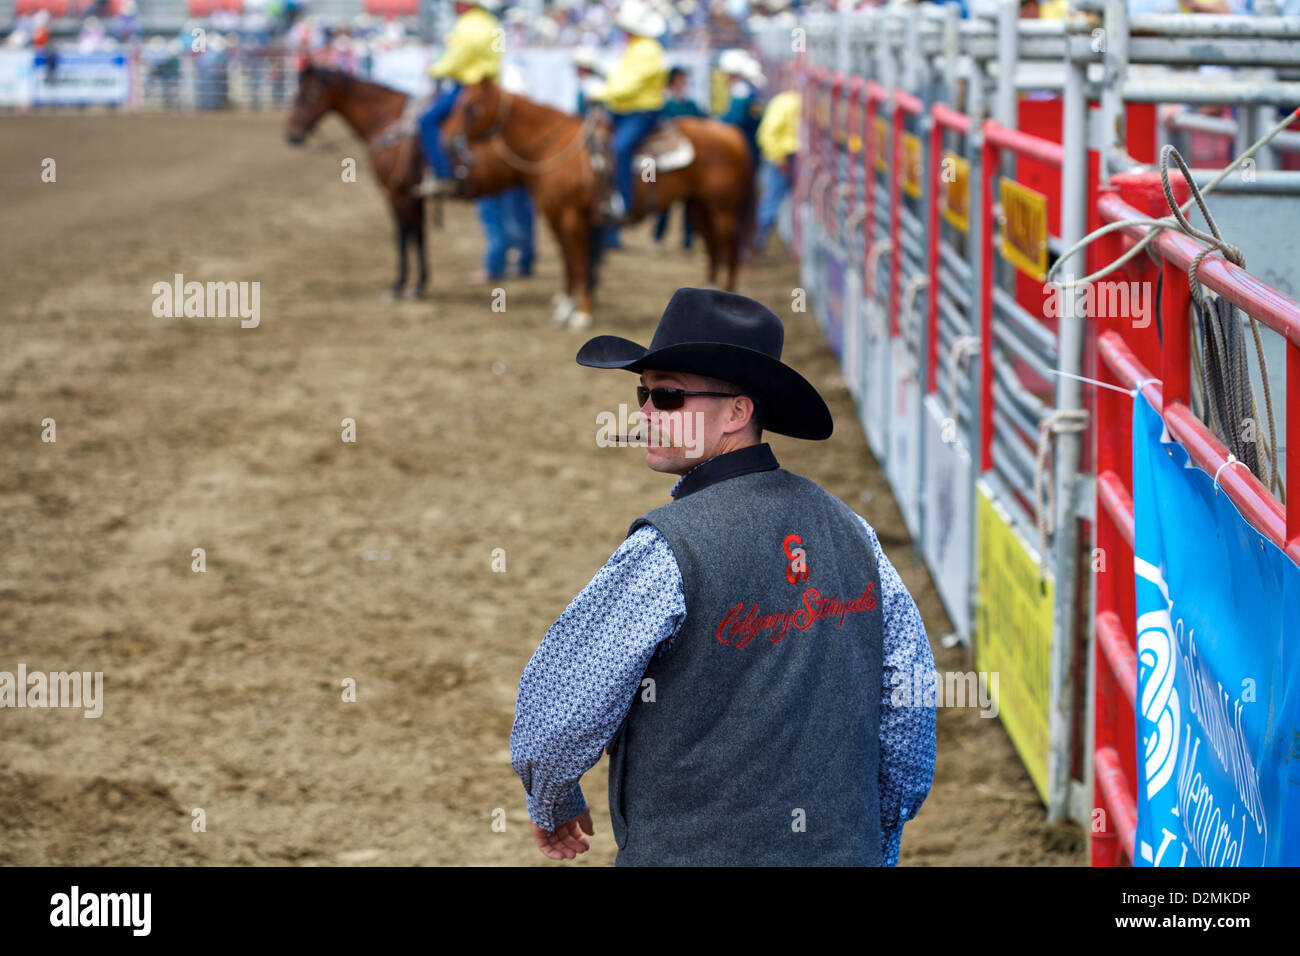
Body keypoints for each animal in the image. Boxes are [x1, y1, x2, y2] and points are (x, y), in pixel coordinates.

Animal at [441, 76, 759, 329]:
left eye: (469, 106)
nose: (445, 138)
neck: (553, 148)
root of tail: (731, 134)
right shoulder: (554, 216)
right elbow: (567, 262)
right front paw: (565, 307)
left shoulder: (572, 217)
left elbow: (580, 262)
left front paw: (581, 314)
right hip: (699, 207)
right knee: (714, 249)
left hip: (723, 210)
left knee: (730, 251)